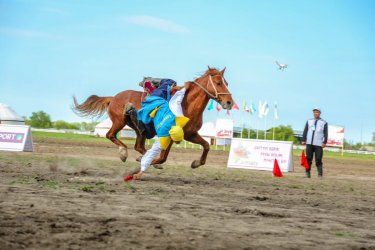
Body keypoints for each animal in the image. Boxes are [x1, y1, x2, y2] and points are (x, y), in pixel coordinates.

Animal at [72, 66, 235, 168]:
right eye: (218, 83)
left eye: (226, 83)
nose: (229, 102)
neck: (186, 104)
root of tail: (113, 98)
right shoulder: (169, 134)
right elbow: (162, 158)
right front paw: (150, 162)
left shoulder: (190, 134)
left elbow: (206, 145)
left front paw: (196, 163)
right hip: (119, 121)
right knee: (110, 135)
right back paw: (124, 153)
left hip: (139, 129)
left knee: (138, 146)